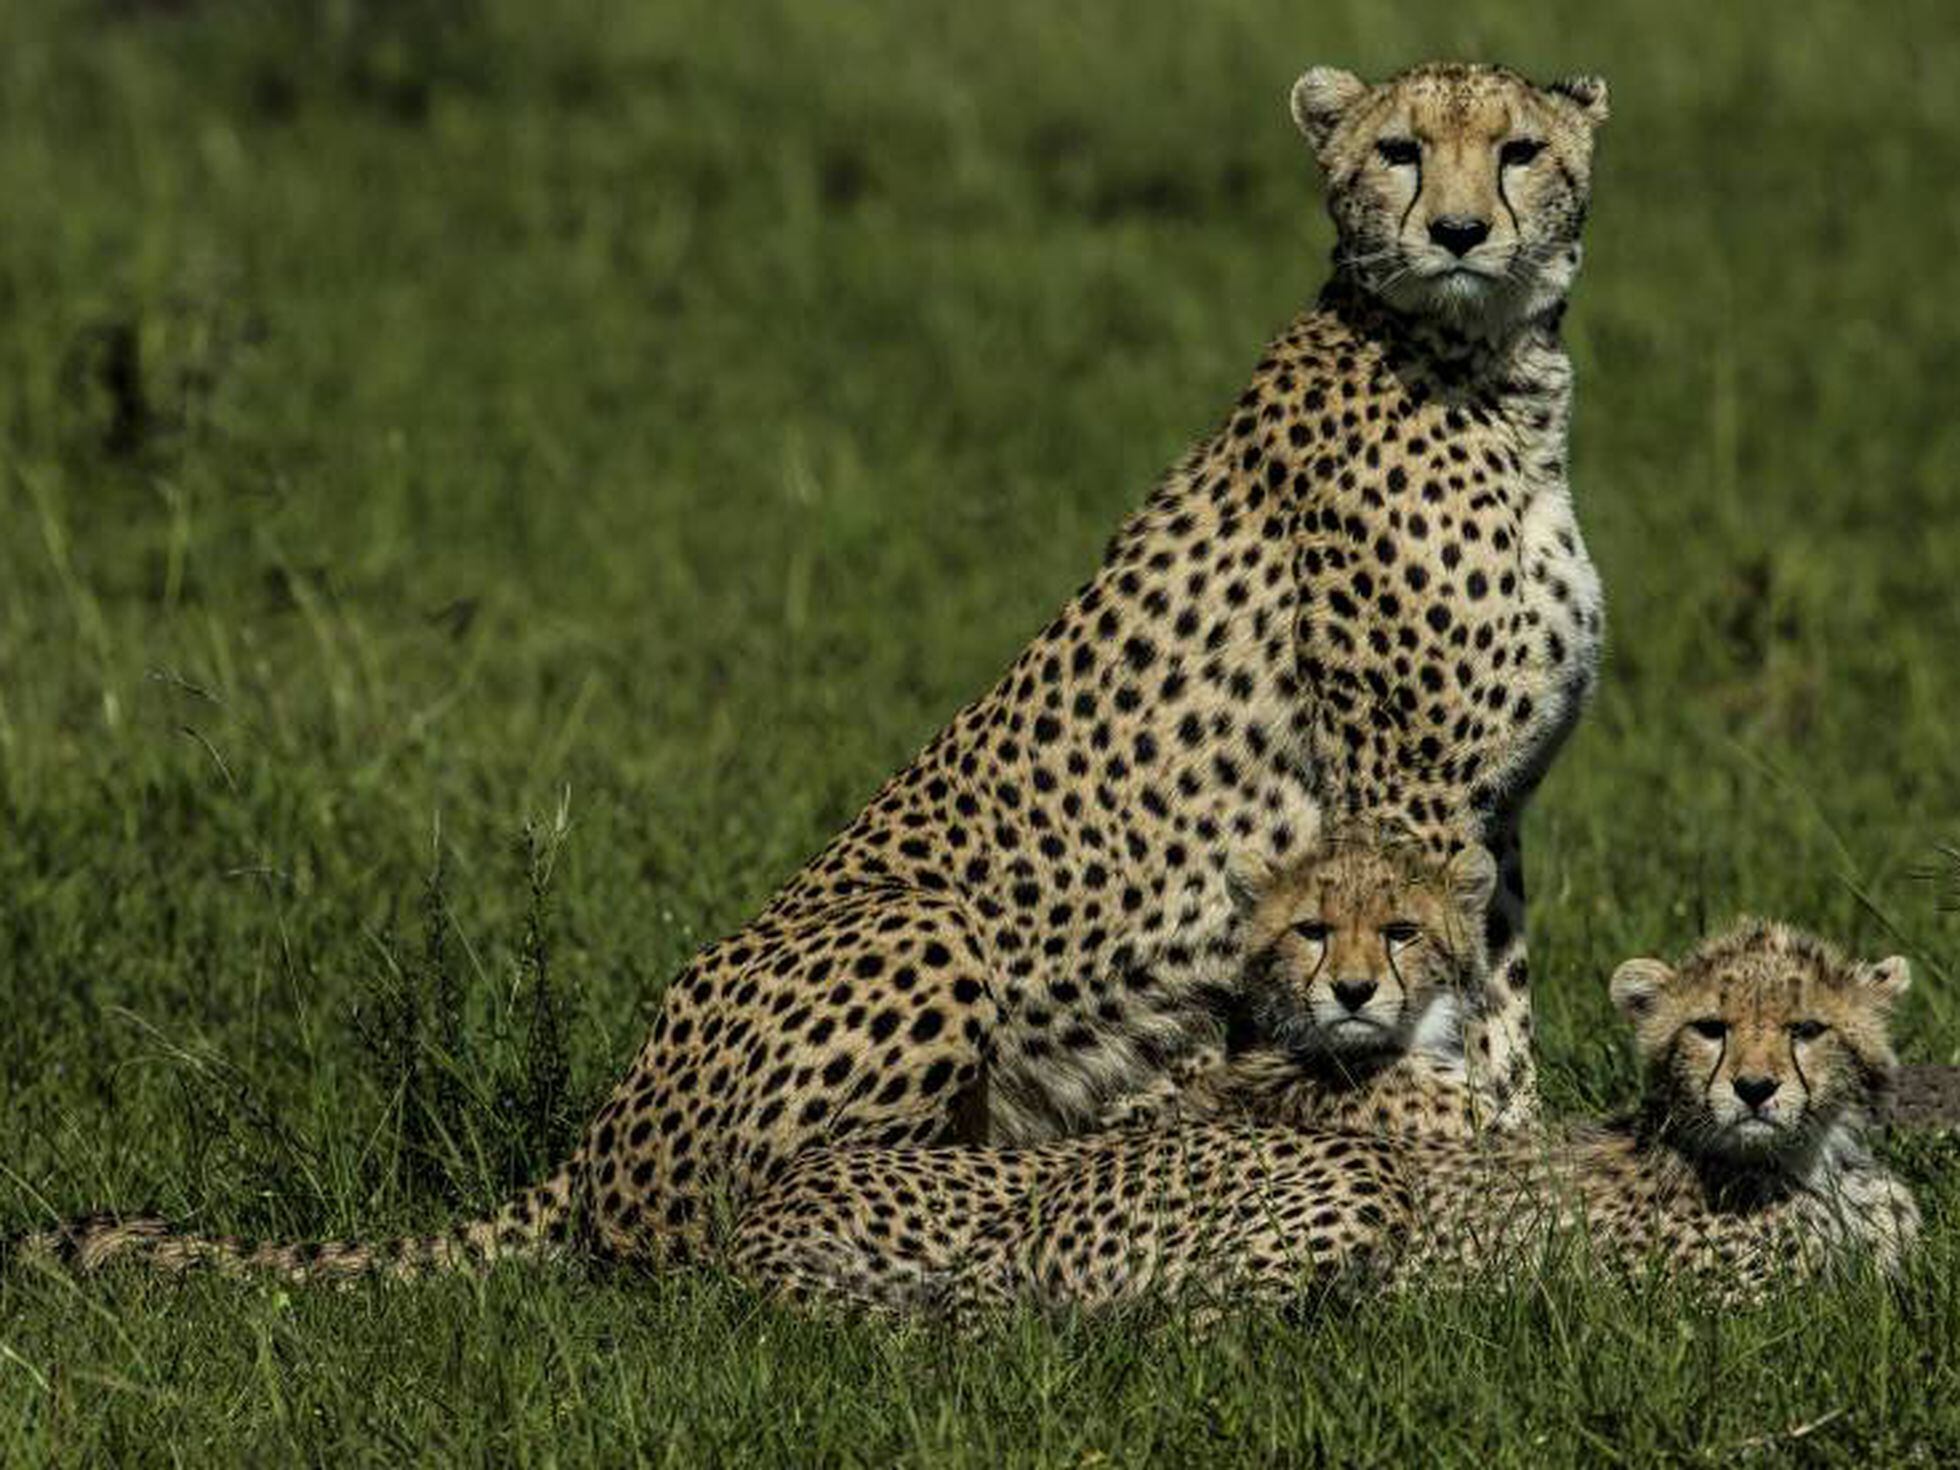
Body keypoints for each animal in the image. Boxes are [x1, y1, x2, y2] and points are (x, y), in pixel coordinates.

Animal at [11, 60, 1607, 1277]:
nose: (1460, 228)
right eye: (1398, 151)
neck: (1491, 380)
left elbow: (1497, 1006)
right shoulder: (1405, 795)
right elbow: (1444, 1022)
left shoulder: (1494, 815)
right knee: (713, 1240)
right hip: (923, 931)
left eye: (1517, 150)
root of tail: (596, 1130)